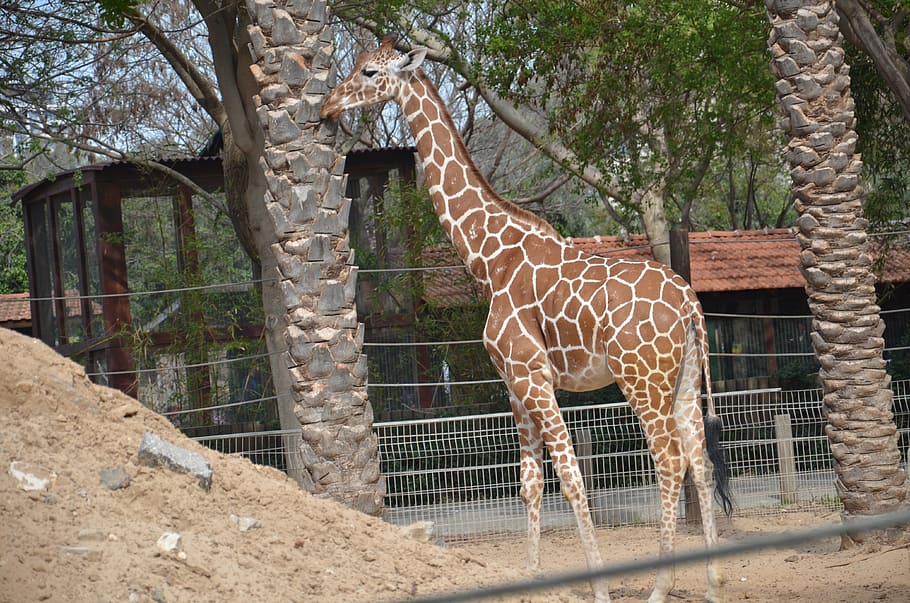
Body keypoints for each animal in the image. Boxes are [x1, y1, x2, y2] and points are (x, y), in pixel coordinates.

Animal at [320, 38, 732, 603]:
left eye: (368, 71)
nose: (326, 106)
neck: (488, 258)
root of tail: (691, 302)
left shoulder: (531, 374)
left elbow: (571, 476)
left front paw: (599, 588)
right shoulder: (513, 383)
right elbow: (529, 481)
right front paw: (534, 575)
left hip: (641, 379)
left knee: (669, 461)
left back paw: (658, 588)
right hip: (686, 379)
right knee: (700, 457)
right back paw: (712, 583)